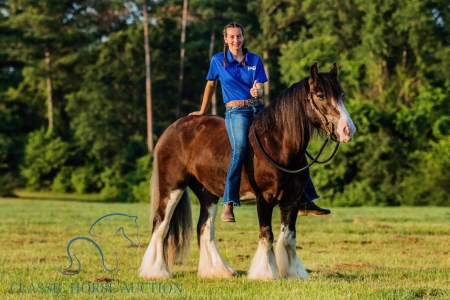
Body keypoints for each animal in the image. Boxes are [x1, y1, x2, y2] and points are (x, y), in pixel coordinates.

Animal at [139, 62, 356, 280]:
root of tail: (172, 129)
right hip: (172, 187)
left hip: (208, 193)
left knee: (205, 228)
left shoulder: (292, 200)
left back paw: (218, 271)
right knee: (160, 225)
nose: (348, 130)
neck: (277, 144)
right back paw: (156, 271)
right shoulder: (265, 199)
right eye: (320, 95)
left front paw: (294, 273)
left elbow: (289, 237)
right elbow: (267, 235)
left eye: (341, 94)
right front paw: (265, 273)